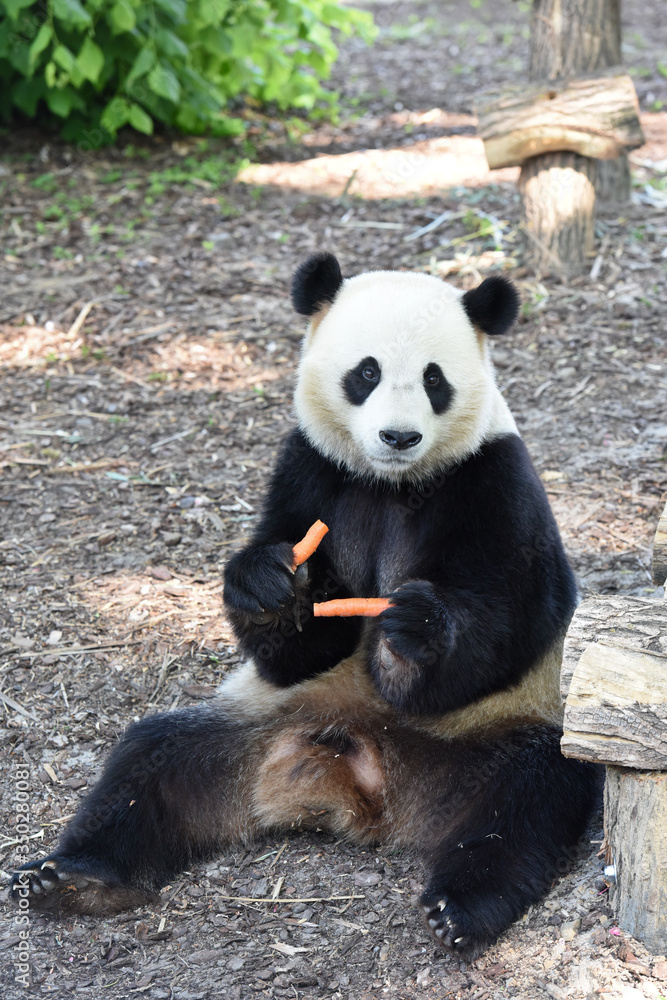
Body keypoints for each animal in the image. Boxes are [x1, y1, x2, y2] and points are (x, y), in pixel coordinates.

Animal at [11, 252, 598, 959]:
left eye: (434, 379)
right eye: (366, 372)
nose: (399, 436)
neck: (390, 484)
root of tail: (359, 785)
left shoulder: (492, 477)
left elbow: (519, 613)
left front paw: (414, 630)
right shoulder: (309, 467)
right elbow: (293, 638)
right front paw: (273, 586)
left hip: (500, 731)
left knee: (525, 803)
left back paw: (460, 907)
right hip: (258, 721)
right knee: (149, 765)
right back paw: (73, 879)